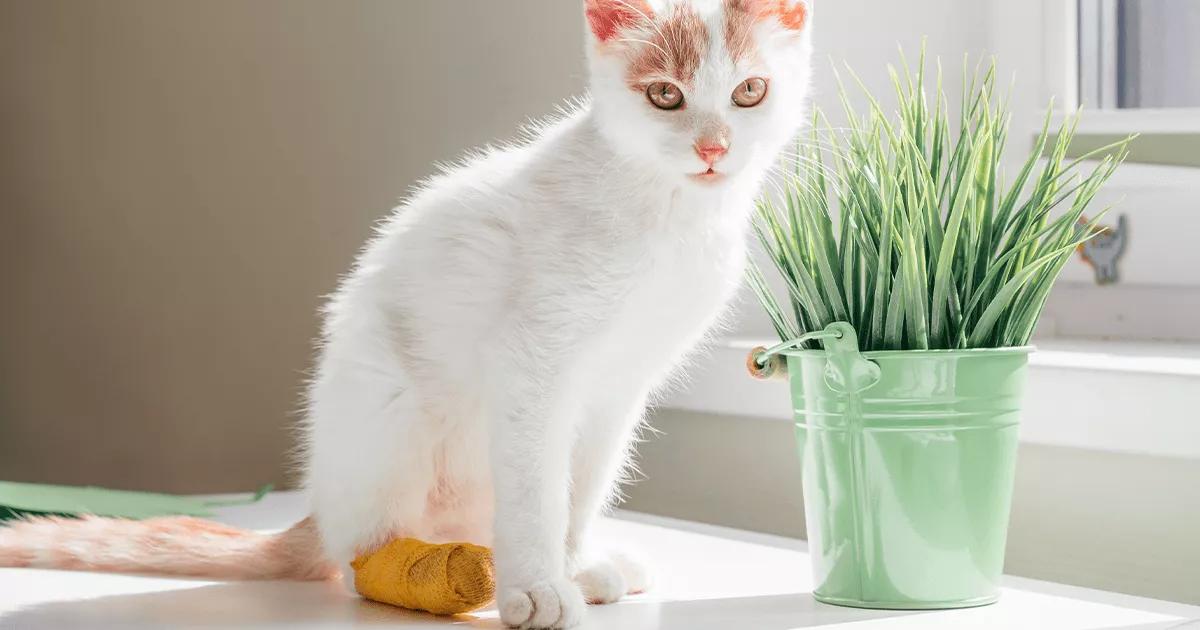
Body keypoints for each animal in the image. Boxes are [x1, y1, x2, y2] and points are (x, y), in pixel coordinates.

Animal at [0, 2, 811, 624]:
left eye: (751, 91)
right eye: (665, 96)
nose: (713, 147)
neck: (667, 215)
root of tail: (320, 503)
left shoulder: (619, 388)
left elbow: (579, 488)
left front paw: (572, 562)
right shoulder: (533, 363)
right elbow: (536, 488)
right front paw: (536, 587)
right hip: (389, 410)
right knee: (359, 557)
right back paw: (438, 569)